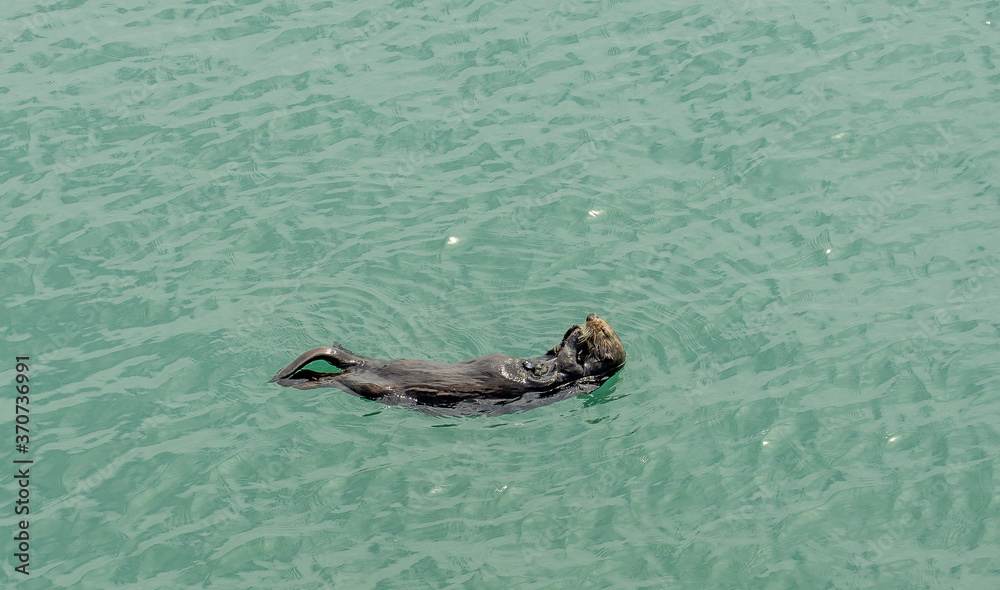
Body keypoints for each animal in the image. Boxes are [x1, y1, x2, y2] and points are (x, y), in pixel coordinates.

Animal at [269, 313, 626, 416]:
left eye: (605, 330)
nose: (590, 316)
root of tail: (366, 365)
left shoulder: (574, 374)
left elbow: (567, 363)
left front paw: (576, 338)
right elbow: (552, 353)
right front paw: (568, 333)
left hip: (366, 384)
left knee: (333, 378)